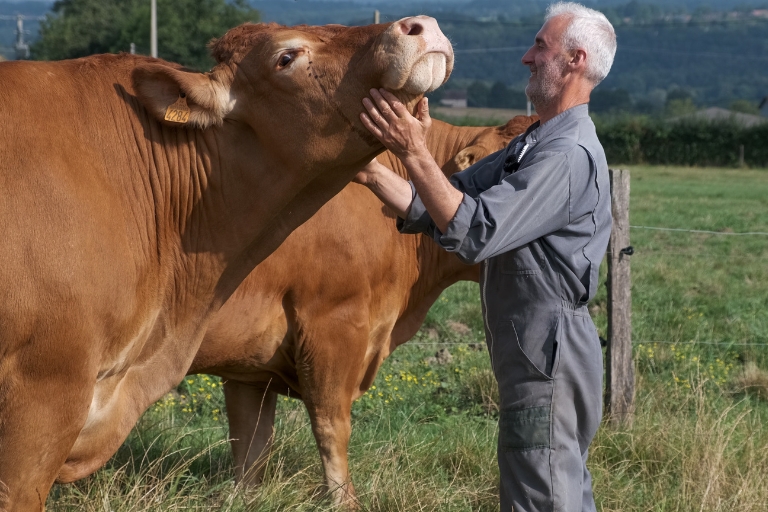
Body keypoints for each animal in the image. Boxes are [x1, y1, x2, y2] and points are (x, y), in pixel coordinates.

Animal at [0, 18, 452, 510]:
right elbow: (331, 428)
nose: (419, 24)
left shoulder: (253, 363)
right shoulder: (43, 393)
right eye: (286, 57)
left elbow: (252, 448)